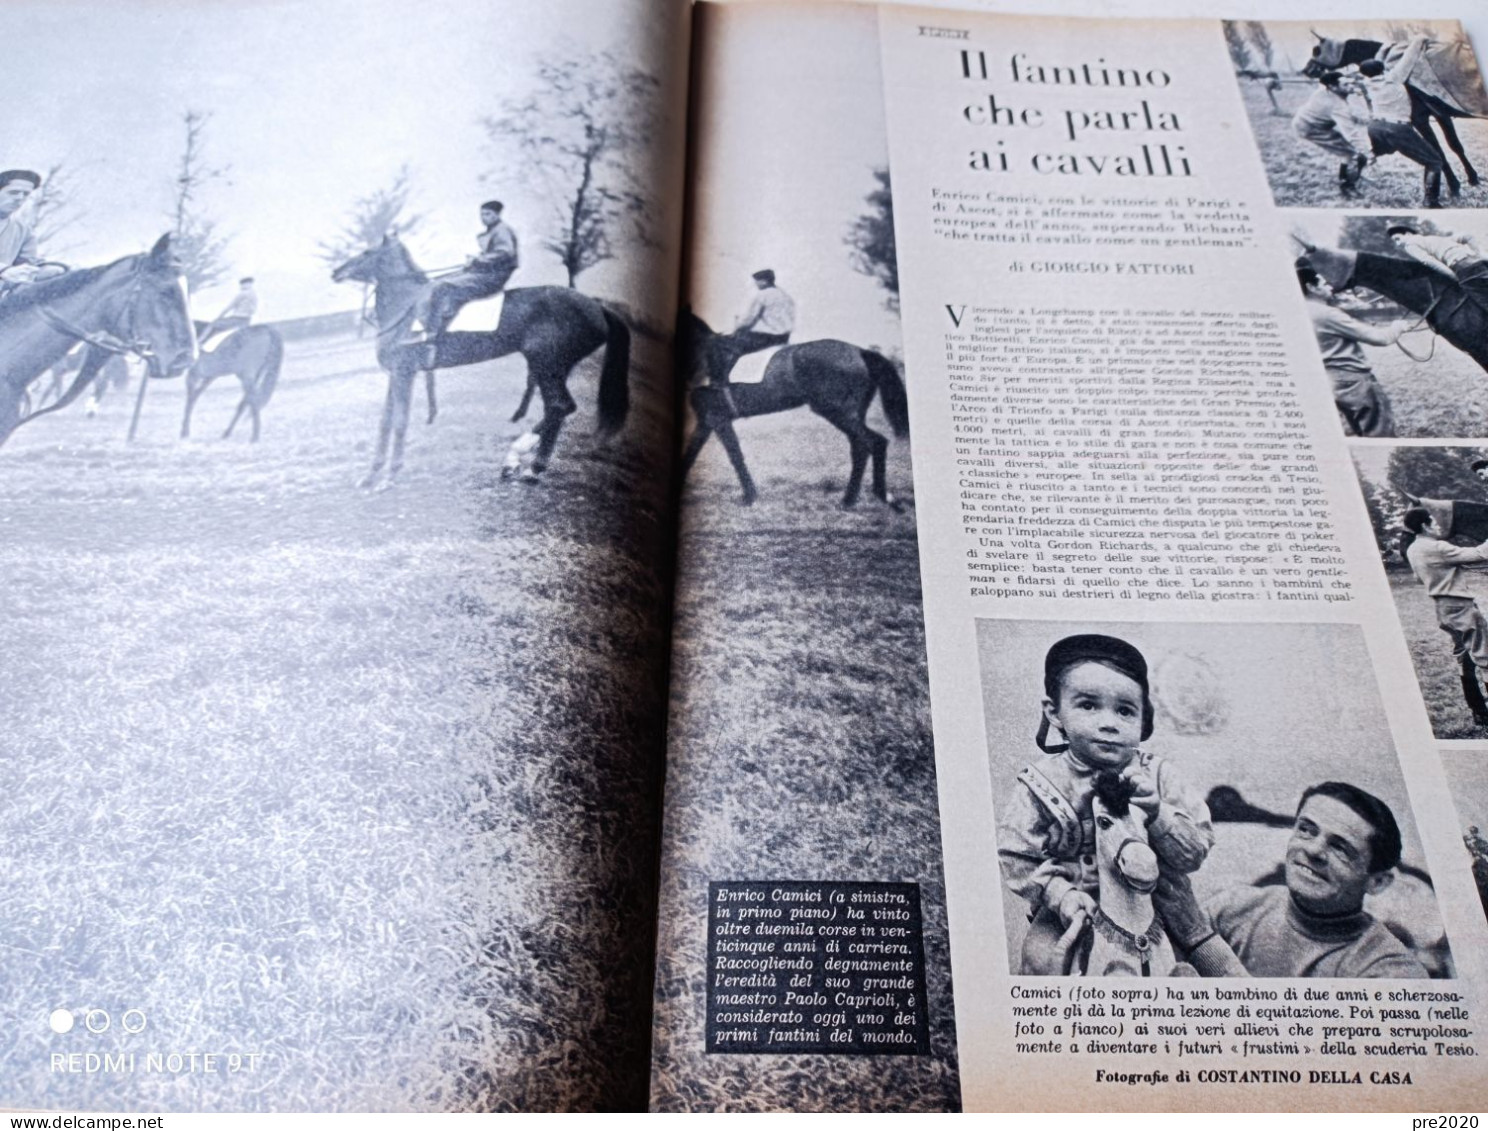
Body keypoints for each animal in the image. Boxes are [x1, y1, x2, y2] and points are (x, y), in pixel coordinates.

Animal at [331, 236, 627, 488]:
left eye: (367, 252)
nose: (336, 271)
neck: (406, 307)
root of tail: (598, 307)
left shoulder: (405, 373)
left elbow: (400, 420)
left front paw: (389, 476)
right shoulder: (396, 375)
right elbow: (385, 421)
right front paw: (371, 476)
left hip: (547, 366)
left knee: (558, 406)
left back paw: (528, 465)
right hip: (554, 368)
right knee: (560, 409)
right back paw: (519, 463)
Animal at [675, 306, 904, 505]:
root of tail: (860, 352)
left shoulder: (718, 418)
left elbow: (735, 455)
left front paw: (749, 497)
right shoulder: (706, 420)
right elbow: (692, 452)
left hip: (837, 413)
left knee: (874, 442)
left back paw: (877, 497)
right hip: (851, 415)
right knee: (860, 448)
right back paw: (850, 500)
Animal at [1303, 35, 1476, 196]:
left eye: (1317, 49)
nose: (1307, 70)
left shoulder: (1428, 118)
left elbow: (1448, 147)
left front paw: (1462, 181)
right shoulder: (1432, 117)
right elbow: (1447, 148)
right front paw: (1462, 181)